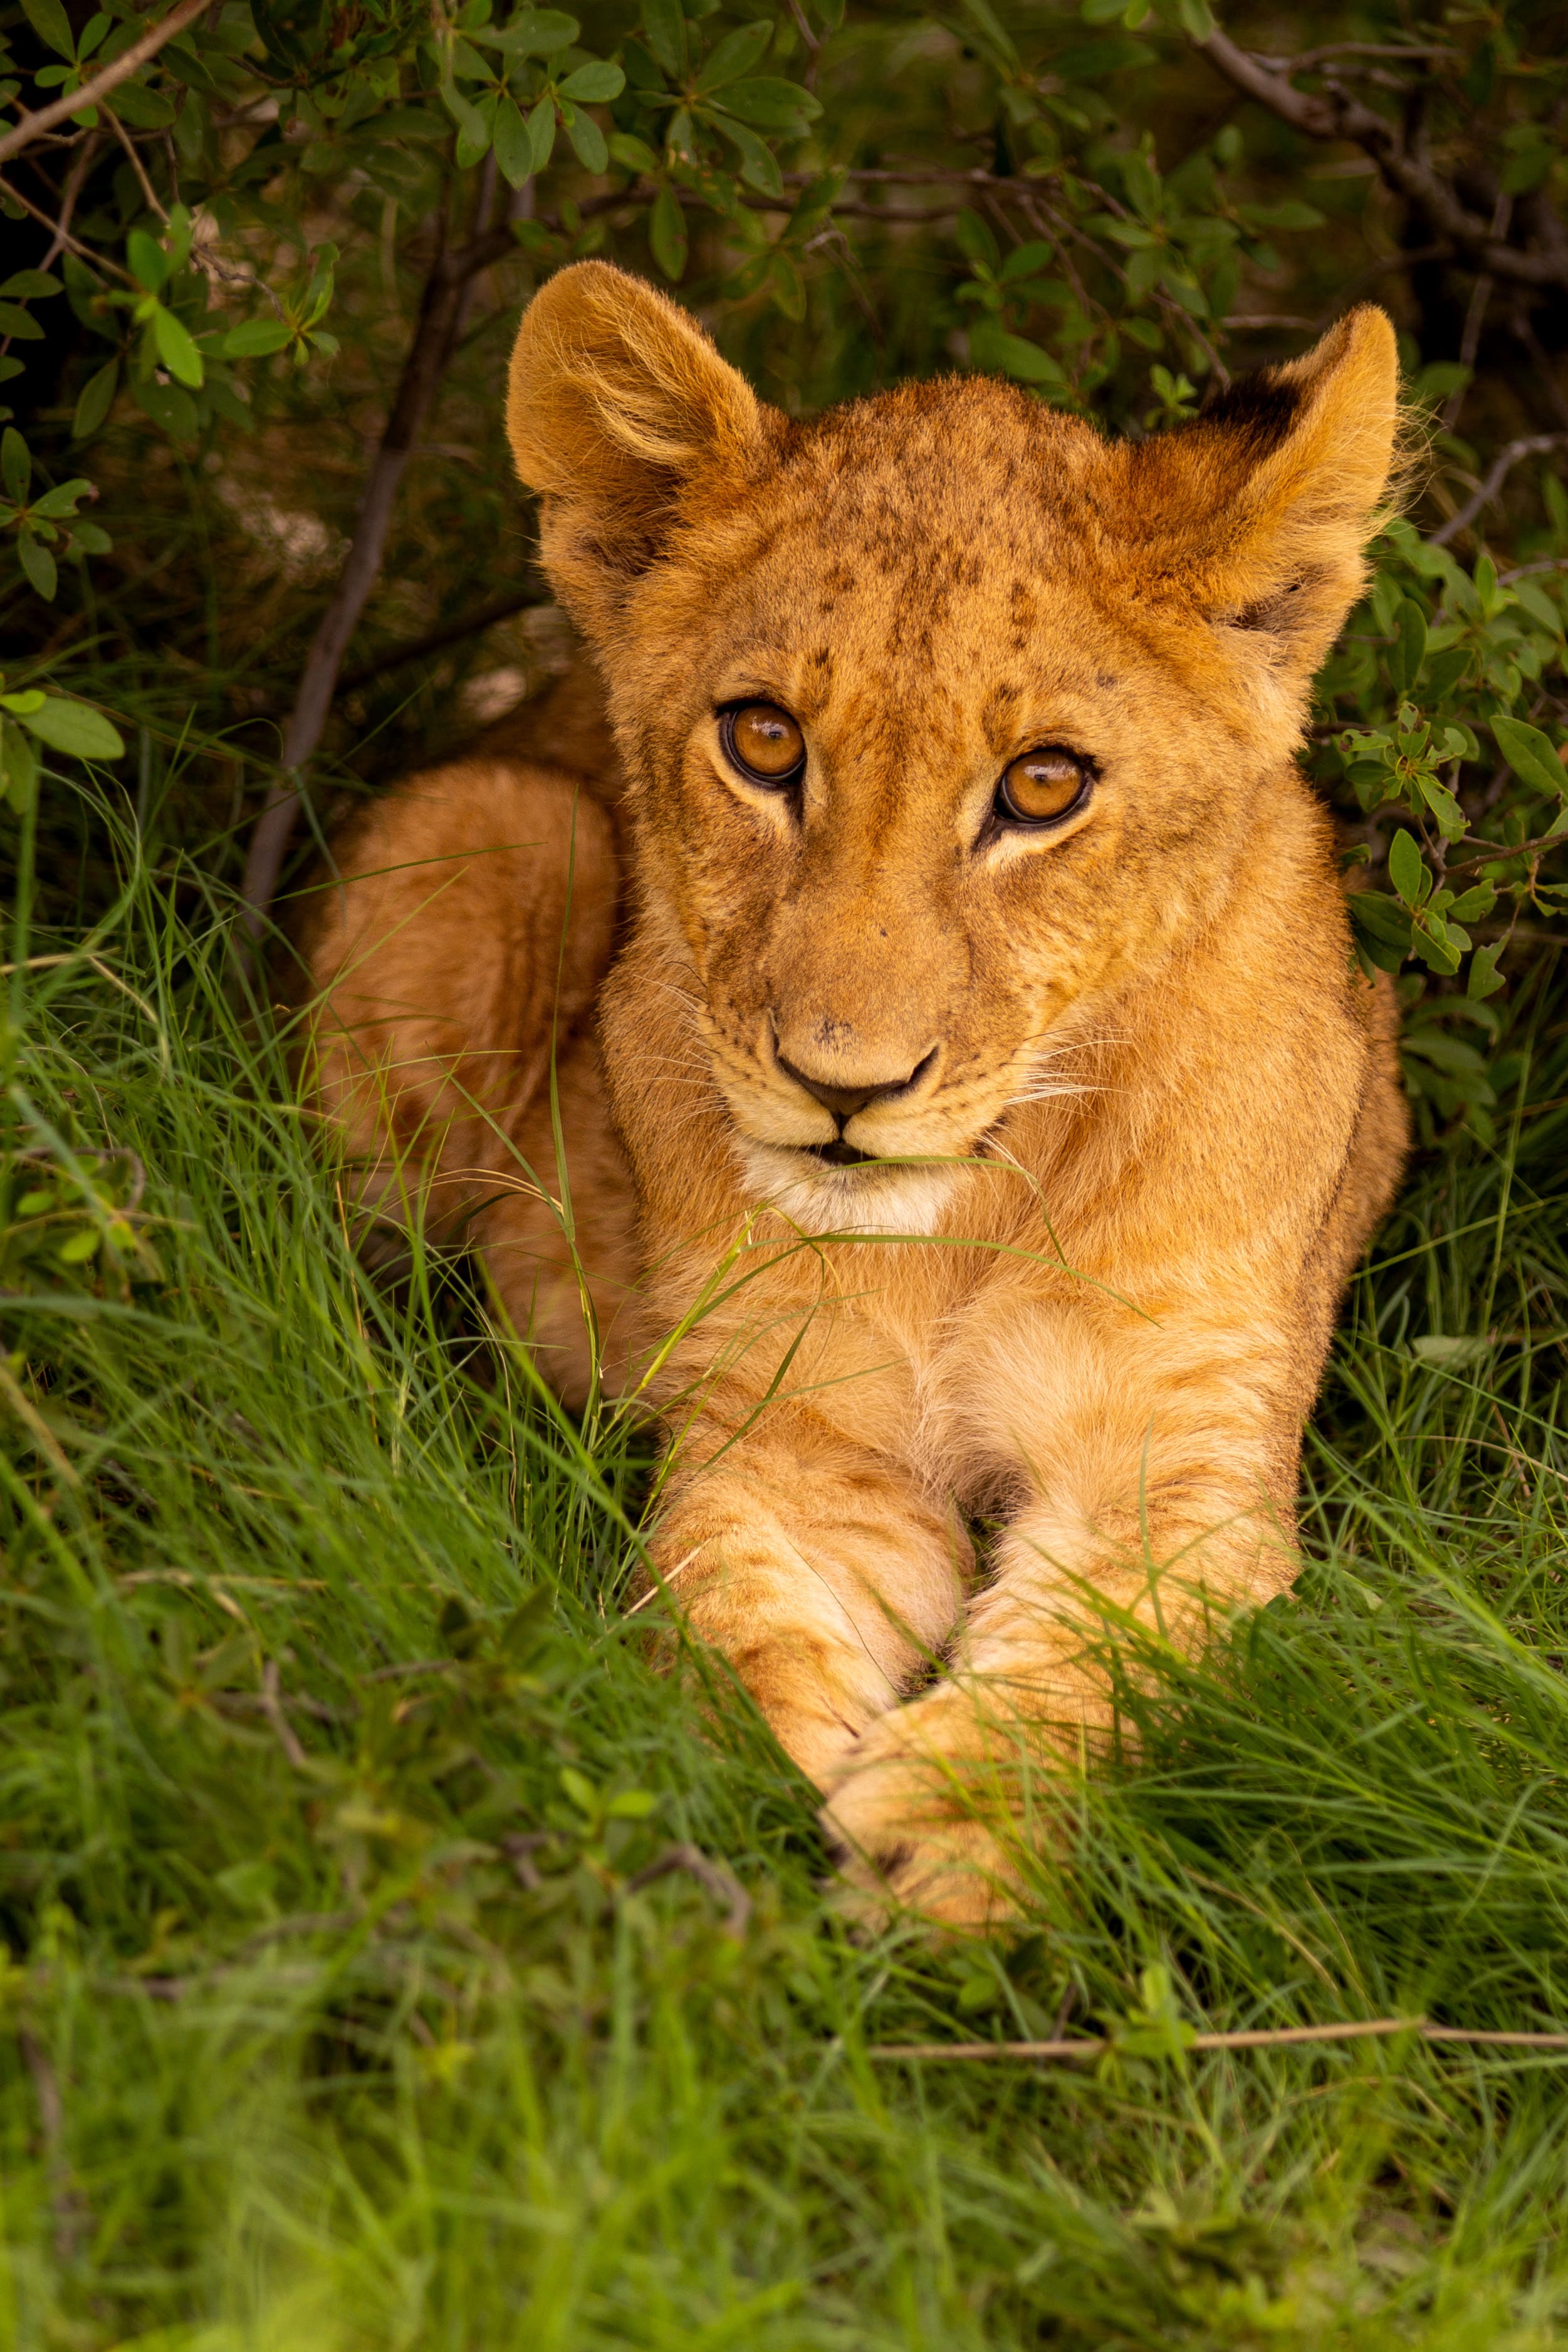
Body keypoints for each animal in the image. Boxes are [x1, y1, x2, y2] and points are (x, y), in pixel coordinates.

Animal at [301, 261, 1409, 1928]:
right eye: (763, 739)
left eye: (1043, 785)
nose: (843, 1084)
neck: (969, 1217)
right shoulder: (799, 1441)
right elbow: (728, 1611)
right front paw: (719, 1795)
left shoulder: (1179, 1475)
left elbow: (1086, 1670)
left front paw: (944, 1832)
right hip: (499, 824)